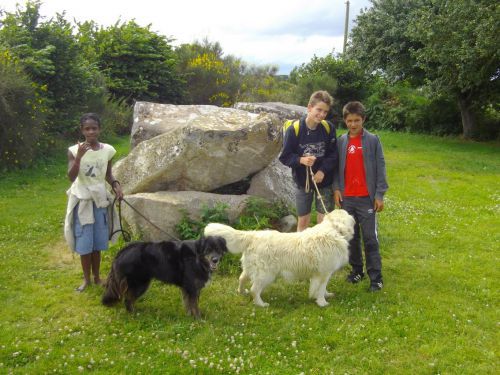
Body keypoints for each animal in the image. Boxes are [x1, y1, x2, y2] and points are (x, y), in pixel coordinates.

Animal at [204, 210, 356, 306]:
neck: (334, 230)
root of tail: (252, 235)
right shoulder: (324, 273)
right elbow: (320, 289)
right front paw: (322, 302)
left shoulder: (321, 274)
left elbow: (322, 289)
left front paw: (327, 295)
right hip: (266, 274)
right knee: (254, 289)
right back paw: (261, 304)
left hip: (251, 269)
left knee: (241, 279)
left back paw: (242, 292)